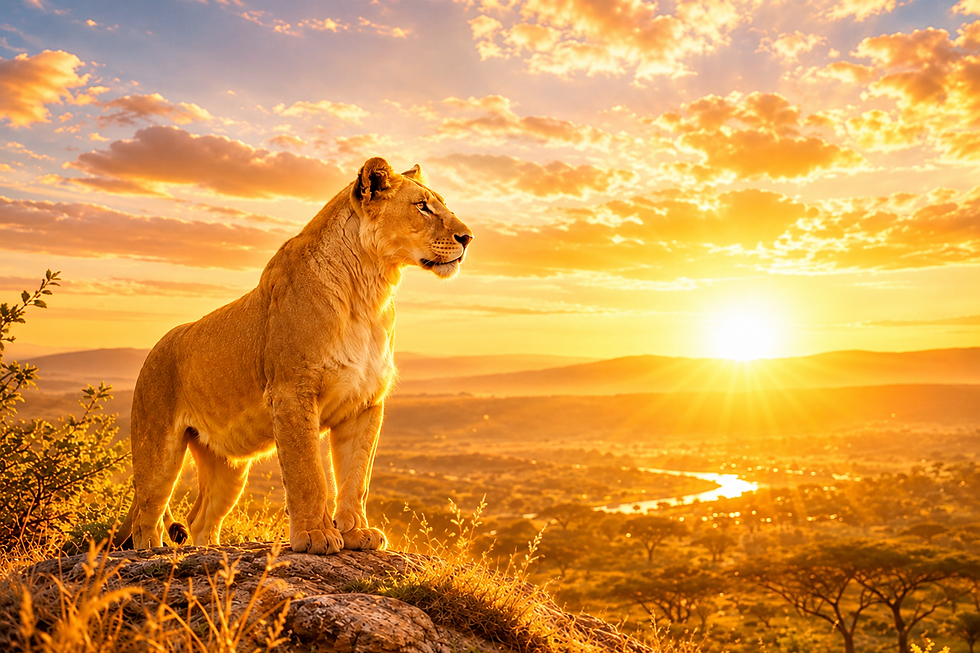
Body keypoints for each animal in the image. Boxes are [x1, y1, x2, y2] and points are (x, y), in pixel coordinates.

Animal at [113, 157, 473, 554]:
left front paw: (357, 533)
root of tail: (155, 348)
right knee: (146, 516)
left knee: (200, 518)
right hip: (157, 451)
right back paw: (154, 552)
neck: (370, 290)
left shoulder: (364, 404)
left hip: (229, 466)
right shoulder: (292, 392)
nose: (468, 237)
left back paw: (211, 555)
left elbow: (356, 477)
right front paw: (316, 536)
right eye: (422, 206)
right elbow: (308, 473)